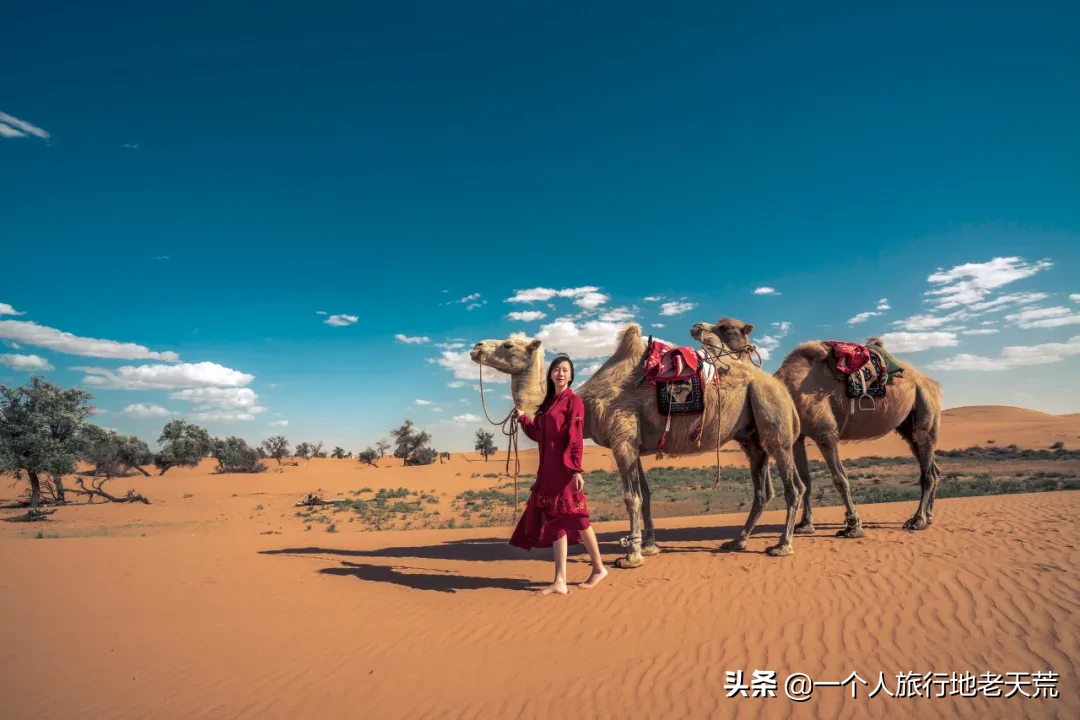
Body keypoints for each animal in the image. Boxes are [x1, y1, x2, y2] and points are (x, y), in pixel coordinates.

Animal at [468, 321, 807, 569]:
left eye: (509, 344)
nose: (476, 346)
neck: (587, 402)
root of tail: (779, 386)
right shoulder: (636, 447)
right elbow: (645, 496)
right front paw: (650, 546)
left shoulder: (622, 441)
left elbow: (631, 498)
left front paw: (631, 556)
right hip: (751, 438)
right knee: (763, 490)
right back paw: (737, 541)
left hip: (774, 421)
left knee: (794, 486)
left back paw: (783, 545)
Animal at [686, 317, 941, 535]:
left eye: (726, 327)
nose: (695, 327)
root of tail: (931, 382)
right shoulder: (798, 438)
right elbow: (807, 481)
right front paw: (805, 524)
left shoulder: (825, 432)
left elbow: (840, 478)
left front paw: (853, 526)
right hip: (908, 425)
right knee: (931, 466)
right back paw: (928, 516)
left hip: (926, 407)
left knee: (927, 470)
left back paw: (917, 520)